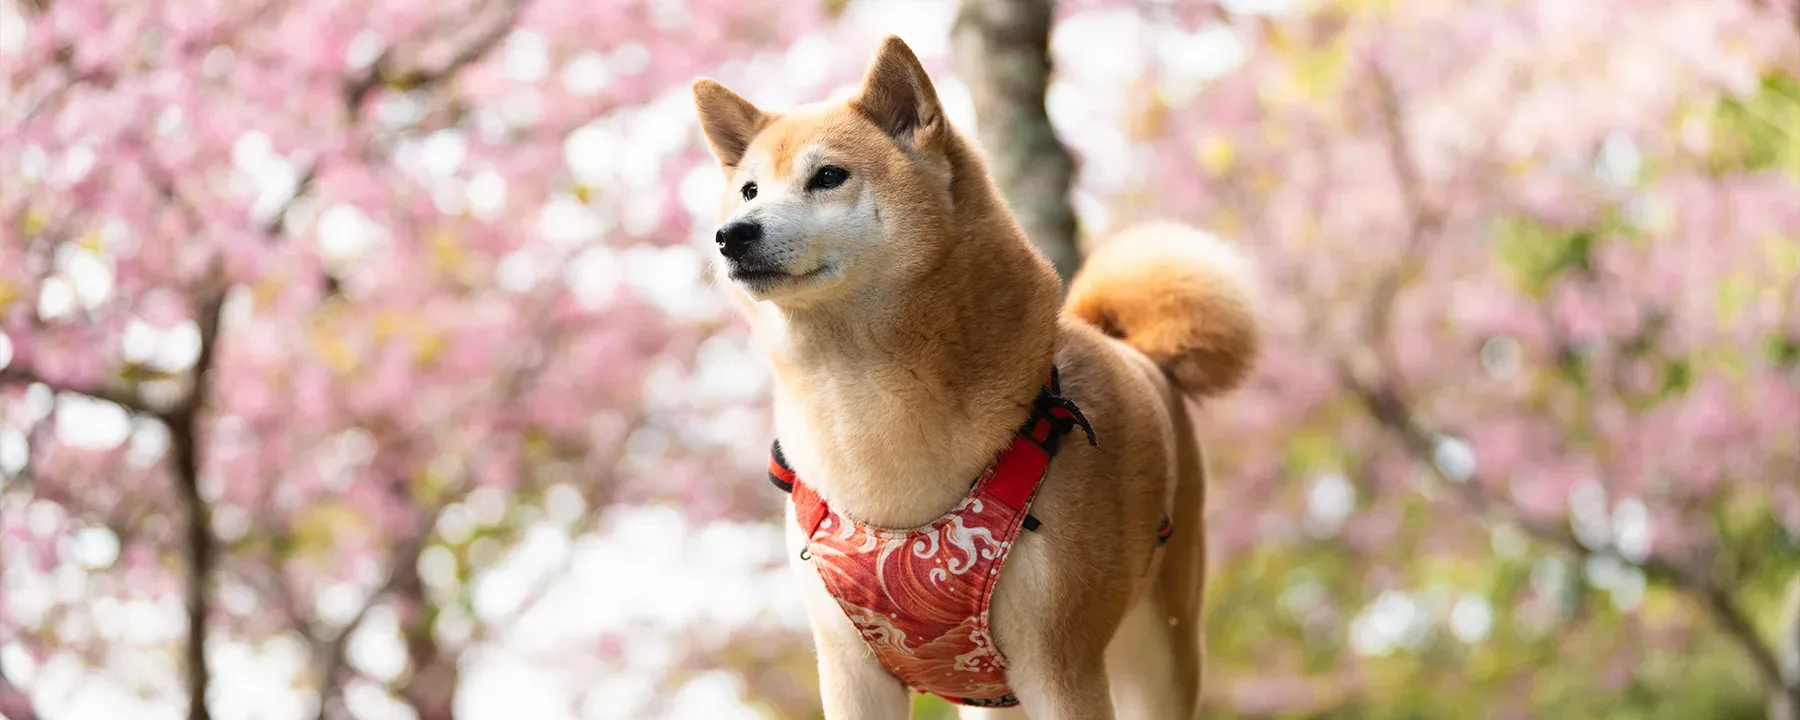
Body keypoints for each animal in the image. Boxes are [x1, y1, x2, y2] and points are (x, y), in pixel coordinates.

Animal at [691, 35, 1267, 720]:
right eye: (750, 191)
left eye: (828, 176)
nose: (731, 236)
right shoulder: (850, 669)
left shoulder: (1060, 664)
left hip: (1158, 650)